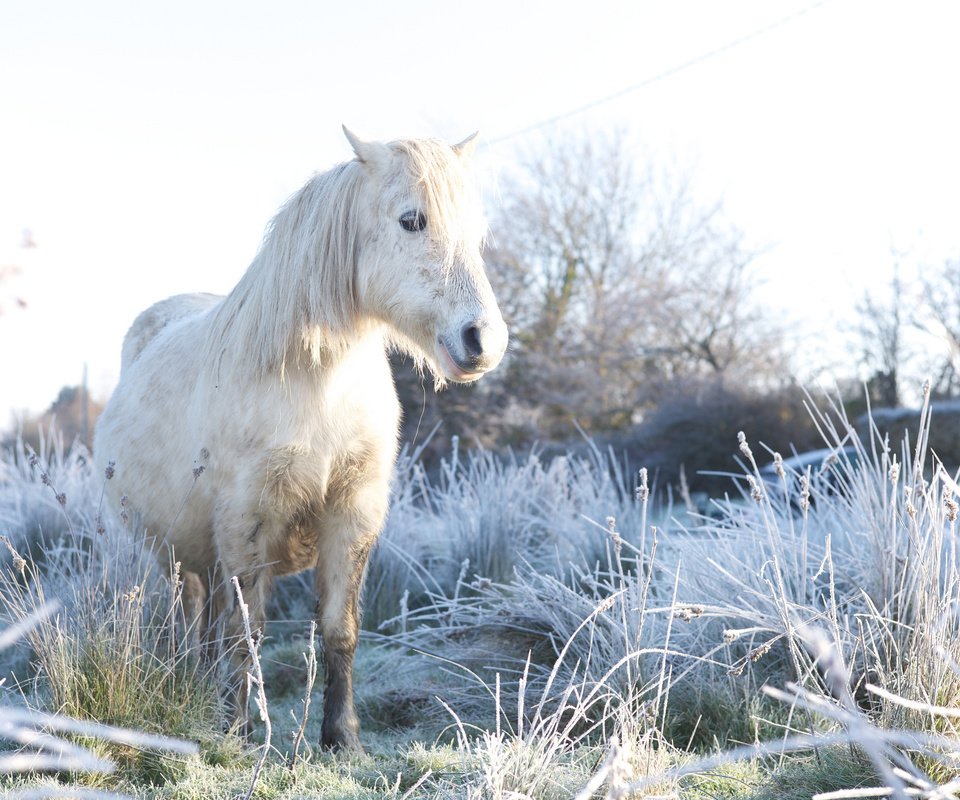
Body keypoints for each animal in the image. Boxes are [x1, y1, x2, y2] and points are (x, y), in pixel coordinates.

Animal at [93, 128, 506, 752]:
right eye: (412, 220)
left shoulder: (352, 515)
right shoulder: (246, 521)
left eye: (477, 232)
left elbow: (339, 628)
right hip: (174, 555)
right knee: (192, 619)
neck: (317, 383)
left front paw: (341, 737)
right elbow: (248, 632)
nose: (483, 340)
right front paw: (240, 731)